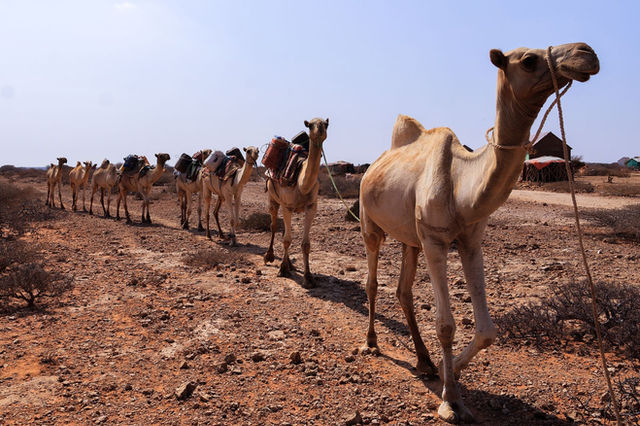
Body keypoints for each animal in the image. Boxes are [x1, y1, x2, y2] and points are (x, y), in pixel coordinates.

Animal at [263, 118, 329, 288]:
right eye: (310, 125)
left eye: (326, 124)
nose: (319, 130)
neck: (301, 183)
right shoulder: (287, 206)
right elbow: (287, 239)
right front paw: (282, 270)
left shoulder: (312, 207)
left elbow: (305, 244)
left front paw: (309, 277)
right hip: (273, 198)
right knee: (274, 226)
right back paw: (269, 256)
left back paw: (291, 265)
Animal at [359, 43, 599, 423]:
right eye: (528, 60)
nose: (586, 53)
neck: (462, 186)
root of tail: (372, 167)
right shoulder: (437, 241)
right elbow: (445, 325)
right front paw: (451, 401)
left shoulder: (470, 241)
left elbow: (487, 330)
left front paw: (450, 371)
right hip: (372, 223)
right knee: (372, 280)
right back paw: (371, 343)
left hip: (411, 238)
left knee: (403, 291)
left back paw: (424, 361)